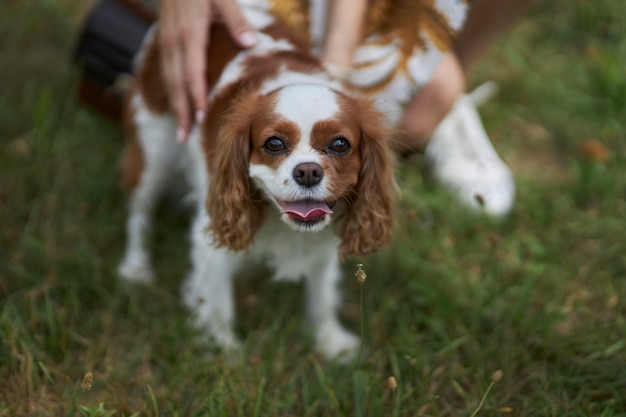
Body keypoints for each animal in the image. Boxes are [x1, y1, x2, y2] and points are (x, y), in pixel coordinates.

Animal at [117, 2, 398, 358]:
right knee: (140, 211)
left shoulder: (323, 244)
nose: (308, 171)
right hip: (153, 151)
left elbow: (320, 293)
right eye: (274, 144)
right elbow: (218, 302)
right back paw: (135, 268)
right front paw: (224, 351)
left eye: (340, 145)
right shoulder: (213, 237)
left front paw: (329, 340)